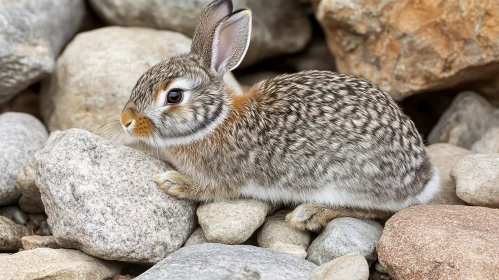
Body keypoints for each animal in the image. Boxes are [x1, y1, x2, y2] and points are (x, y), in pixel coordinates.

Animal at [121, 0, 442, 232]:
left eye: (174, 96)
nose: (126, 121)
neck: (215, 122)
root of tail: (421, 177)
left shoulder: (221, 178)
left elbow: (206, 190)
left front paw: (172, 182)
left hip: (346, 182)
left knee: (377, 210)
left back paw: (308, 214)